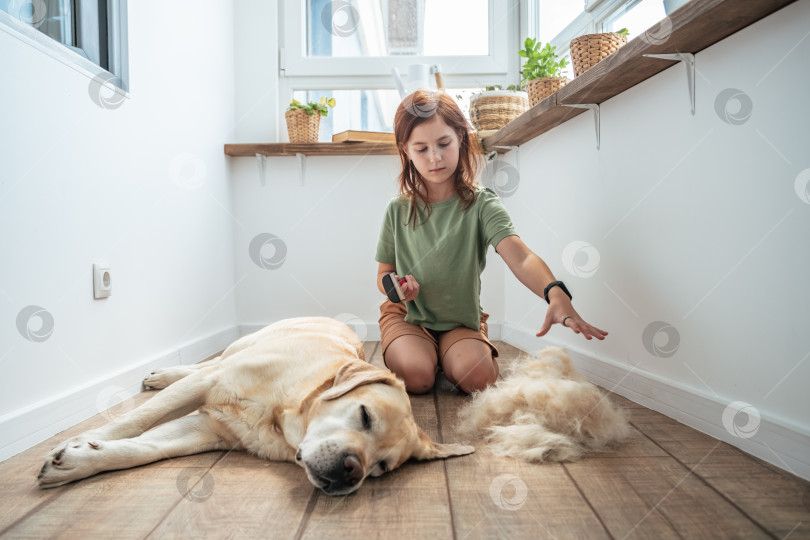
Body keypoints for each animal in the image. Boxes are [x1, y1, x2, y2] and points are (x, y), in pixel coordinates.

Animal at [39, 318, 474, 496]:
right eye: (365, 415)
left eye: (381, 468)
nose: (353, 471)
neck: (281, 412)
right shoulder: (210, 384)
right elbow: (137, 420)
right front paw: (82, 438)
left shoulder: (205, 430)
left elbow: (141, 449)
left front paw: (79, 460)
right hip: (237, 349)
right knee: (204, 364)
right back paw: (163, 374)